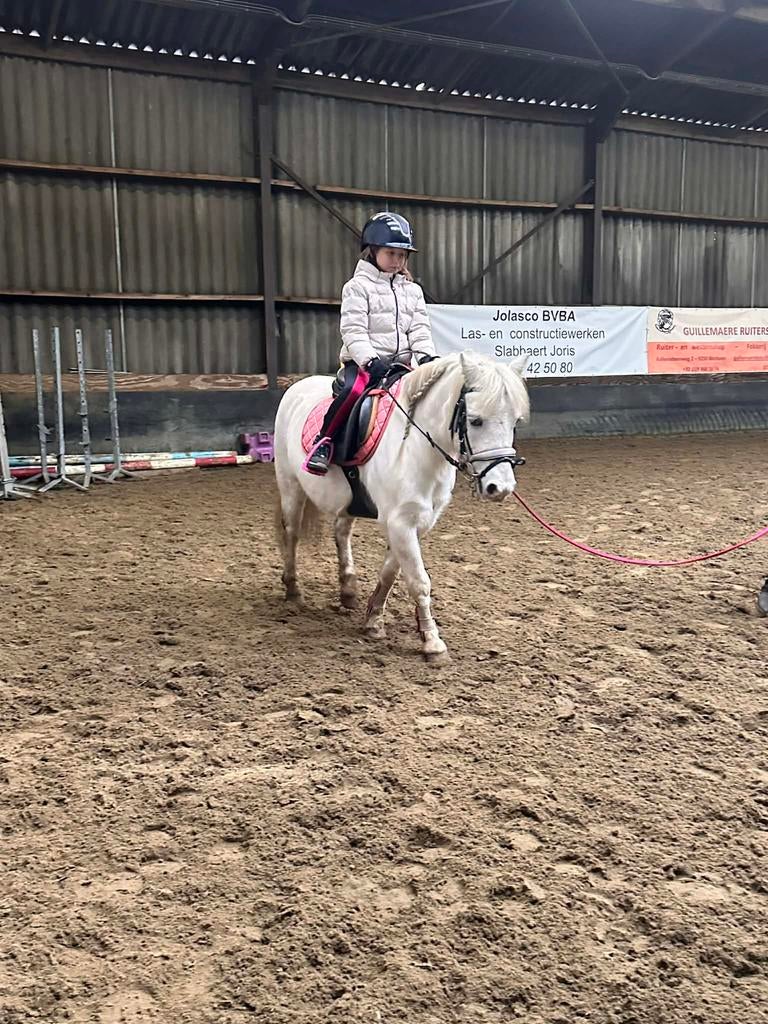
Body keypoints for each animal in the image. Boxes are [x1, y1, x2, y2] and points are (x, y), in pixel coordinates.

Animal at [273, 351, 530, 664]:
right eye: (476, 421)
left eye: (515, 421)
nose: (500, 488)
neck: (418, 449)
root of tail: (297, 386)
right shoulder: (399, 523)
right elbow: (419, 580)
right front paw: (433, 643)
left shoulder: (417, 523)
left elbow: (390, 573)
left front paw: (374, 621)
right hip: (290, 486)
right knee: (292, 533)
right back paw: (293, 591)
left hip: (346, 502)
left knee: (341, 533)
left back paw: (348, 591)